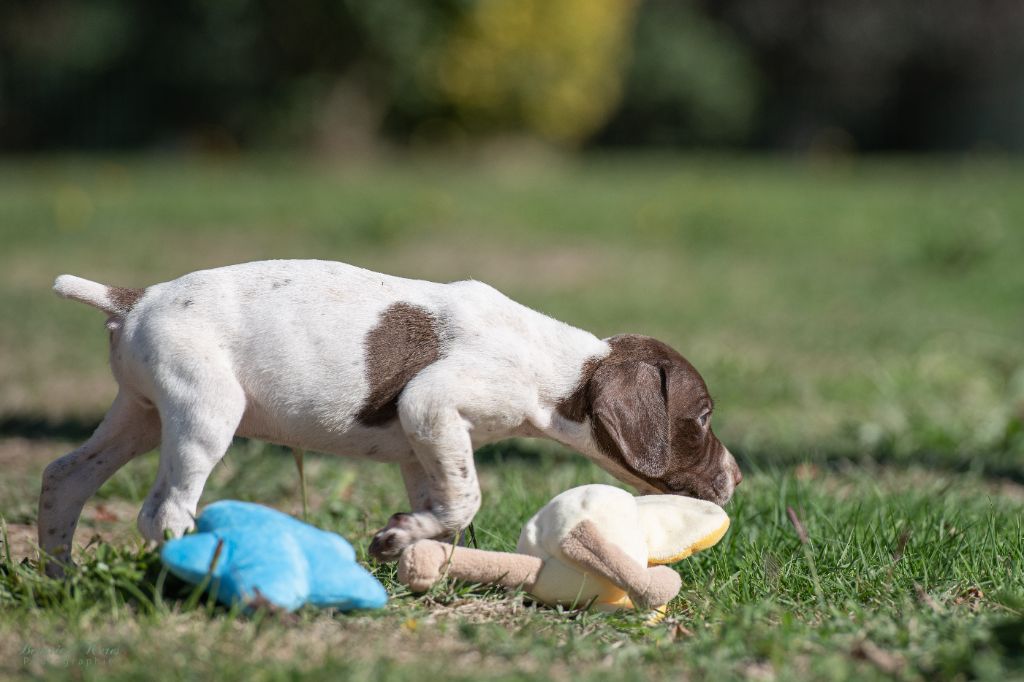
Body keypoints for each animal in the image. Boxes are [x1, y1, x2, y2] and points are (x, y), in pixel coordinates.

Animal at [39, 258, 741, 569]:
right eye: (703, 417)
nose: (737, 476)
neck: (556, 366)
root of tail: (134, 299)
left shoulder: (421, 442)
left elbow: (448, 509)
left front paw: (412, 548)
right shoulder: (431, 404)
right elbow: (467, 500)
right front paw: (398, 537)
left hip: (140, 415)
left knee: (64, 478)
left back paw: (60, 575)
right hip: (203, 415)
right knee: (162, 512)